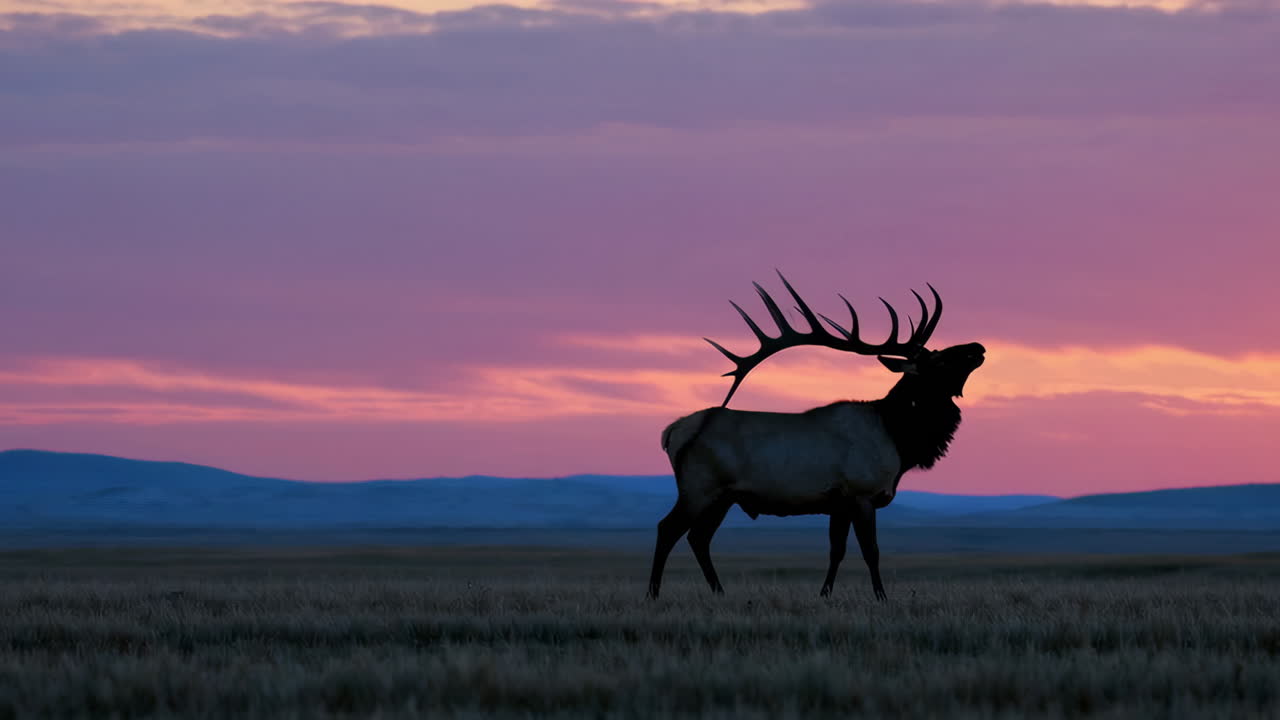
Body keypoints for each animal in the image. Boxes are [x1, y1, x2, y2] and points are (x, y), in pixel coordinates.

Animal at [647, 272, 985, 601]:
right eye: (940, 360)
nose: (978, 347)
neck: (900, 439)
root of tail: (672, 433)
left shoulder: (839, 503)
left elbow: (836, 551)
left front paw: (825, 594)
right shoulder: (861, 493)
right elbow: (871, 551)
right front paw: (881, 597)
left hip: (722, 497)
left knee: (698, 537)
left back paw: (719, 592)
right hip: (698, 486)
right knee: (667, 529)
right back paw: (653, 593)